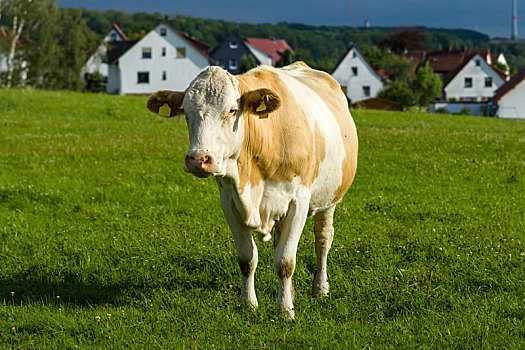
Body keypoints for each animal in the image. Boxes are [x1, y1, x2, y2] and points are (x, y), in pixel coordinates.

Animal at [146, 61, 356, 318]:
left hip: (331, 198)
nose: (198, 159)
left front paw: (284, 310)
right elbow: (247, 258)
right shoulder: (229, 202)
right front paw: (248, 303)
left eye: (232, 110)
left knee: (323, 239)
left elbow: (285, 261)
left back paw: (320, 288)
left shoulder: (299, 201)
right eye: (186, 112)